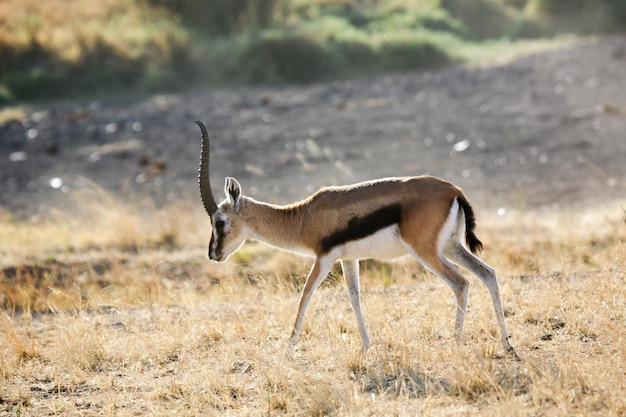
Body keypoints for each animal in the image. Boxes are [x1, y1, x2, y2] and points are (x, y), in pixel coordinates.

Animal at [194, 118, 512, 356]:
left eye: (220, 222)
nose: (213, 254)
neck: (303, 217)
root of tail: (453, 190)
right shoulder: (349, 260)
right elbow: (354, 297)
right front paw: (365, 347)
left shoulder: (324, 258)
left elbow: (305, 295)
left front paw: (288, 350)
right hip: (451, 246)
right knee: (488, 274)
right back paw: (507, 344)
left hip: (426, 251)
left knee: (461, 283)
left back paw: (456, 343)